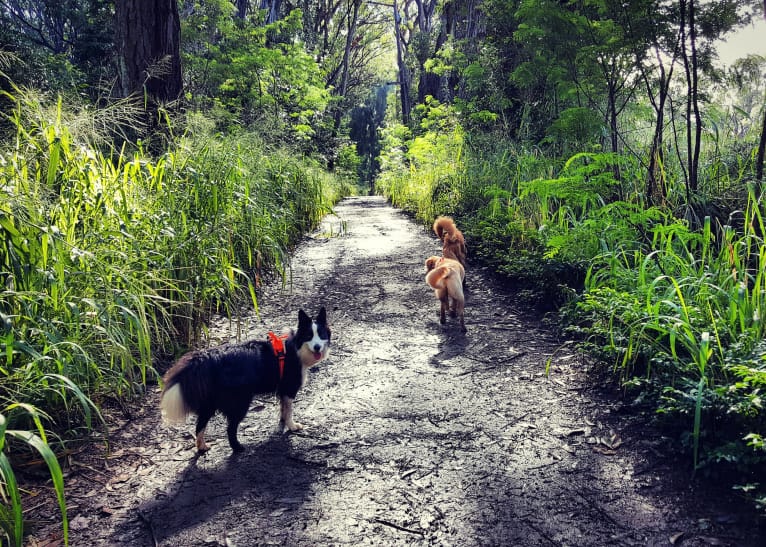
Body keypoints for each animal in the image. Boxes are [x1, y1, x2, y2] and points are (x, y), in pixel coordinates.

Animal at [160, 308, 332, 454]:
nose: (317, 347)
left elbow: (283, 410)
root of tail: (207, 357)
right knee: (230, 428)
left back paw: (202, 447)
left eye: (321, 335)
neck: (296, 348)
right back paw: (238, 448)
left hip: (211, 401)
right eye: (309, 336)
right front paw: (292, 426)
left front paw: (282, 425)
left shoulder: (283, 390)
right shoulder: (289, 388)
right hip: (240, 401)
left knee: (200, 425)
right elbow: (289, 411)